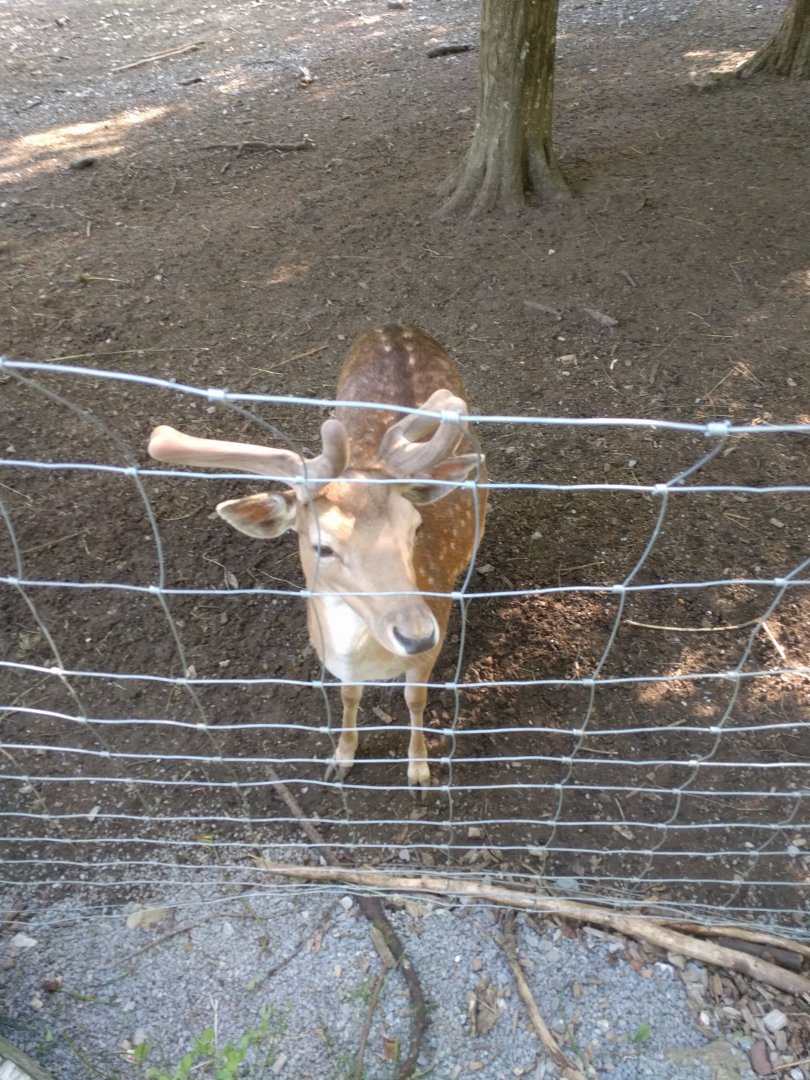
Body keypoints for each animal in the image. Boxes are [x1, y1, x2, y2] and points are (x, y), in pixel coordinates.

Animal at [148, 324, 487, 793]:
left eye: (415, 528)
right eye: (322, 546)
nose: (418, 634)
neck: (369, 658)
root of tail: (396, 326)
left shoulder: (424, 657)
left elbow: (414, 700)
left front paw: (418, 773)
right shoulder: (336, 662)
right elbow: (348, 695)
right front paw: (341, 759)